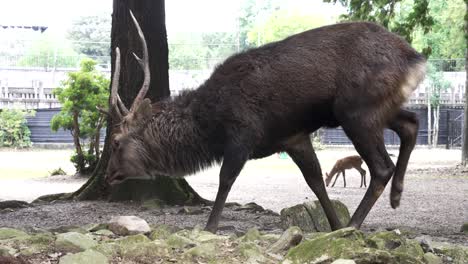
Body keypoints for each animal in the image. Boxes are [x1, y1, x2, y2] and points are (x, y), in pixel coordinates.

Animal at [104, 10, 426, 233]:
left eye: (116, 142)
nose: (109, 174)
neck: (209, 125)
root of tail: (415, 59)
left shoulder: (242, 135)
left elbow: (225, 180)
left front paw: (209, 227)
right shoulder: (293, 137)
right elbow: (315, 182)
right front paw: (332, 226)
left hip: (356, 110)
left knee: (382, 166)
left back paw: (355, 224)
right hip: (379, 106)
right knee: (411, 122)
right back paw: (396, 196)